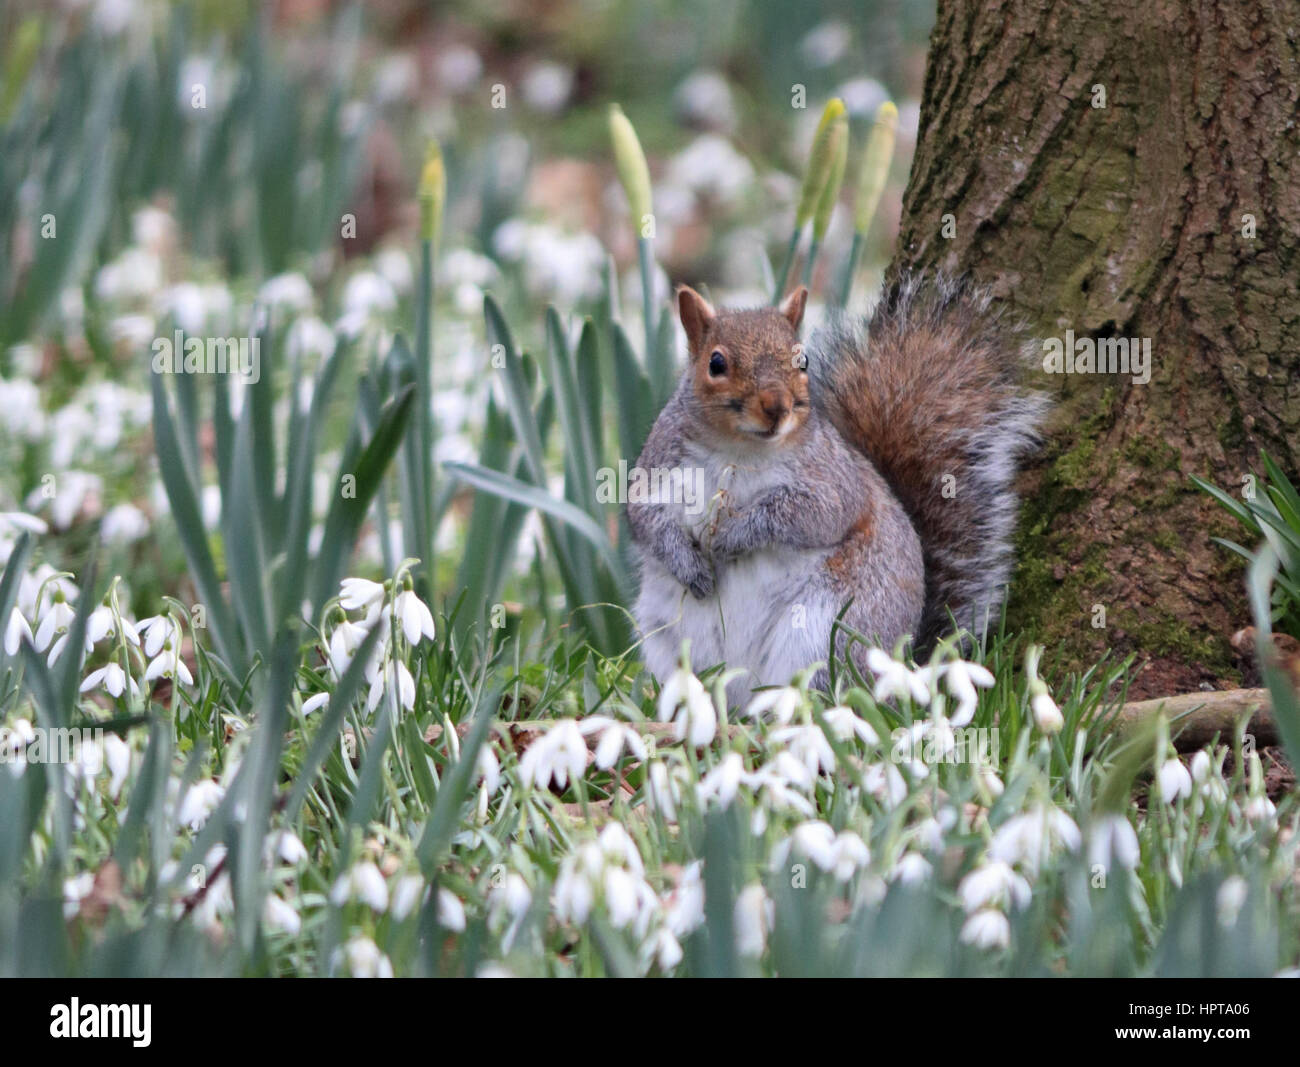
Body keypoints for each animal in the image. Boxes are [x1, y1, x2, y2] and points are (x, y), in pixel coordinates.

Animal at [629, 270, 1045, 701]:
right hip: (665, 640)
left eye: (803, 361)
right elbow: (647, 520)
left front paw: (733, 536)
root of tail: (907, 666)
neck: (739, 449)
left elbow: (810, 516)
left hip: (831, 631)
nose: (776, 406)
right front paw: (688, 564)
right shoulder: (658, 469)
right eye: (716, 363)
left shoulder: (832, 481)